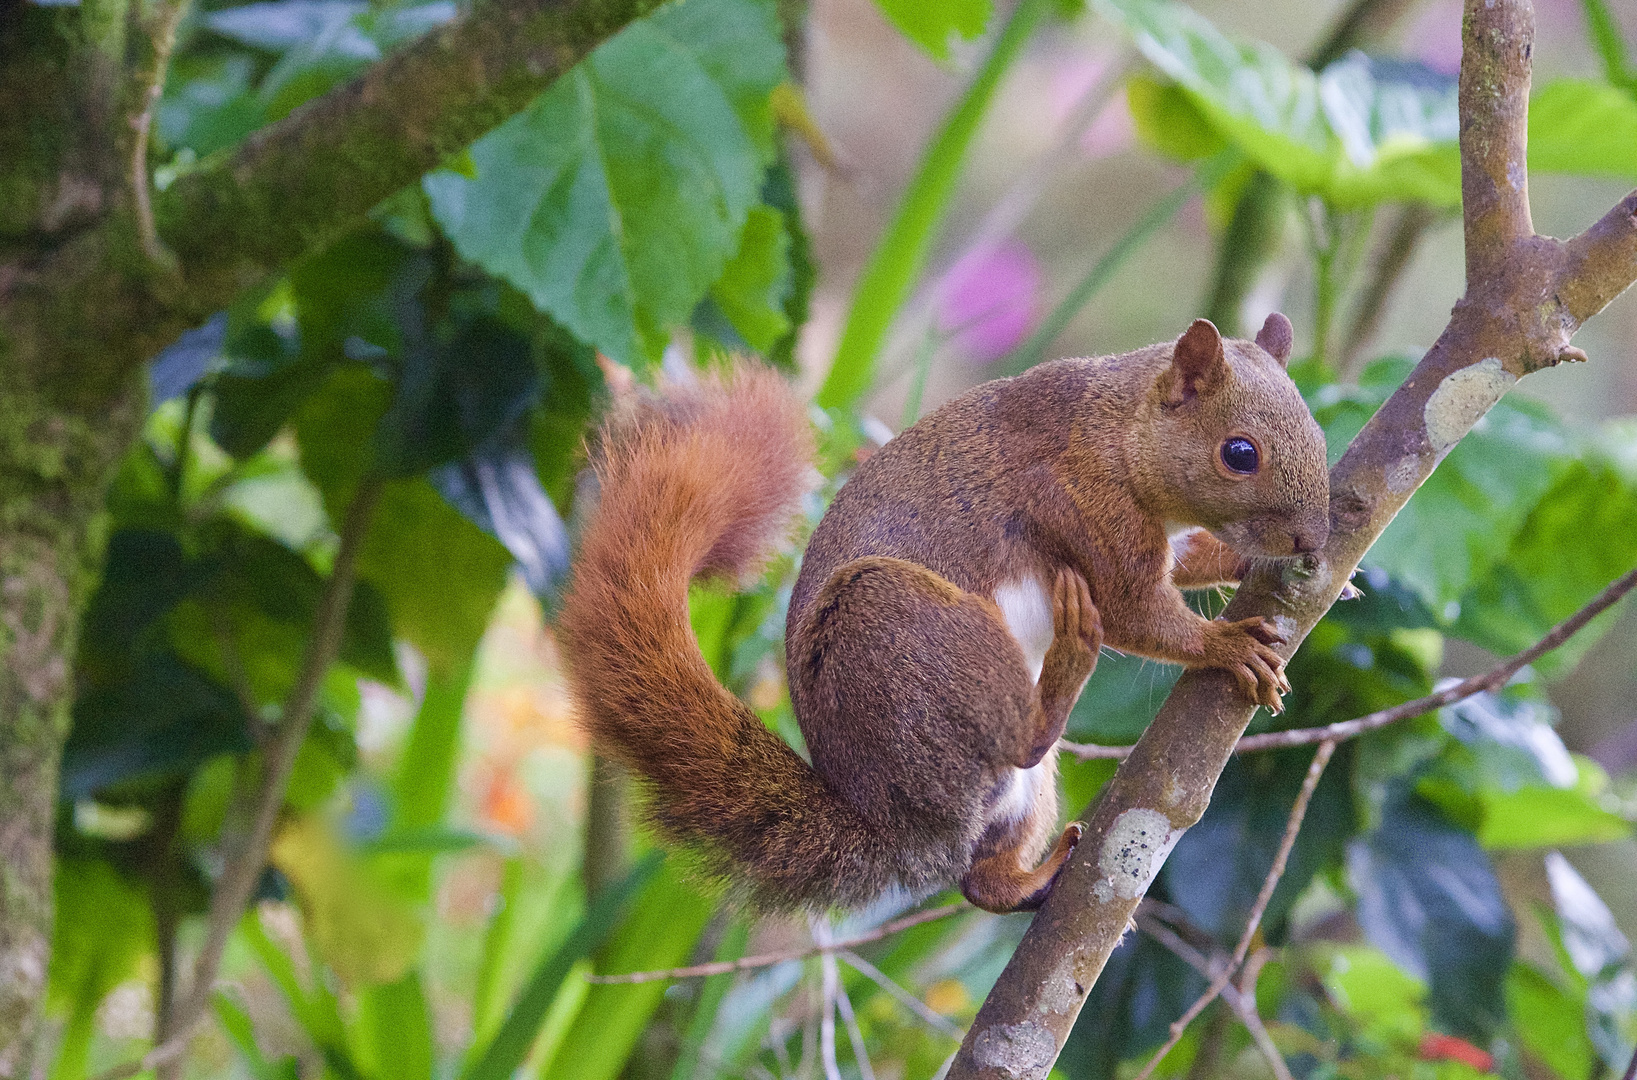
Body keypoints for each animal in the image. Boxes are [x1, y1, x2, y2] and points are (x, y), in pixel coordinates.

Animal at [559, 315, 1329, 916]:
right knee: (1024, 738)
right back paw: (1071, 657)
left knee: (981, 879)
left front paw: (1258, 568)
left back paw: (1031, 877)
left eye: (1322, 438)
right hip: (897, 629)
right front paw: (1226, 645)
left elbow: (1187, 562)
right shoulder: (1079, 503)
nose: (1311, 542)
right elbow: (1135, 611)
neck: (1116, 430)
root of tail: (891, 825)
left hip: (1019, 798)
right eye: (1238, 453)